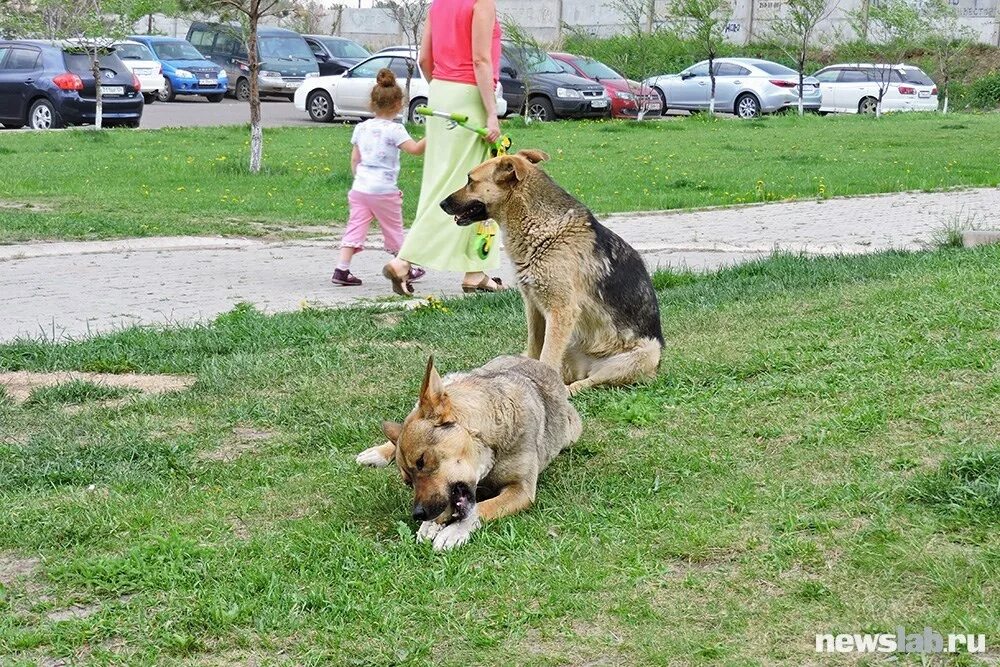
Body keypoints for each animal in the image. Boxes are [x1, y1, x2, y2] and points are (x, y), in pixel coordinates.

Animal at [358, 358, 580, 552]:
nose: (418, 514)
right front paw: (433, 523)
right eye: (407, 482)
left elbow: (480, 508)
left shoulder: (521, 490)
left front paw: (454, 530)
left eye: (422, 461)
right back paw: (378, 452)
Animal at [440, 149, 664, 394]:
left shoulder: (560, 311)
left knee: (586, 382)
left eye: (470, 180)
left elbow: (546, 357)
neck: (543, 230)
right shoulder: (534, 309)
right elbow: (534, 351)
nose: (441, 204)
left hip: (644, 354)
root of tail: (587, 365)